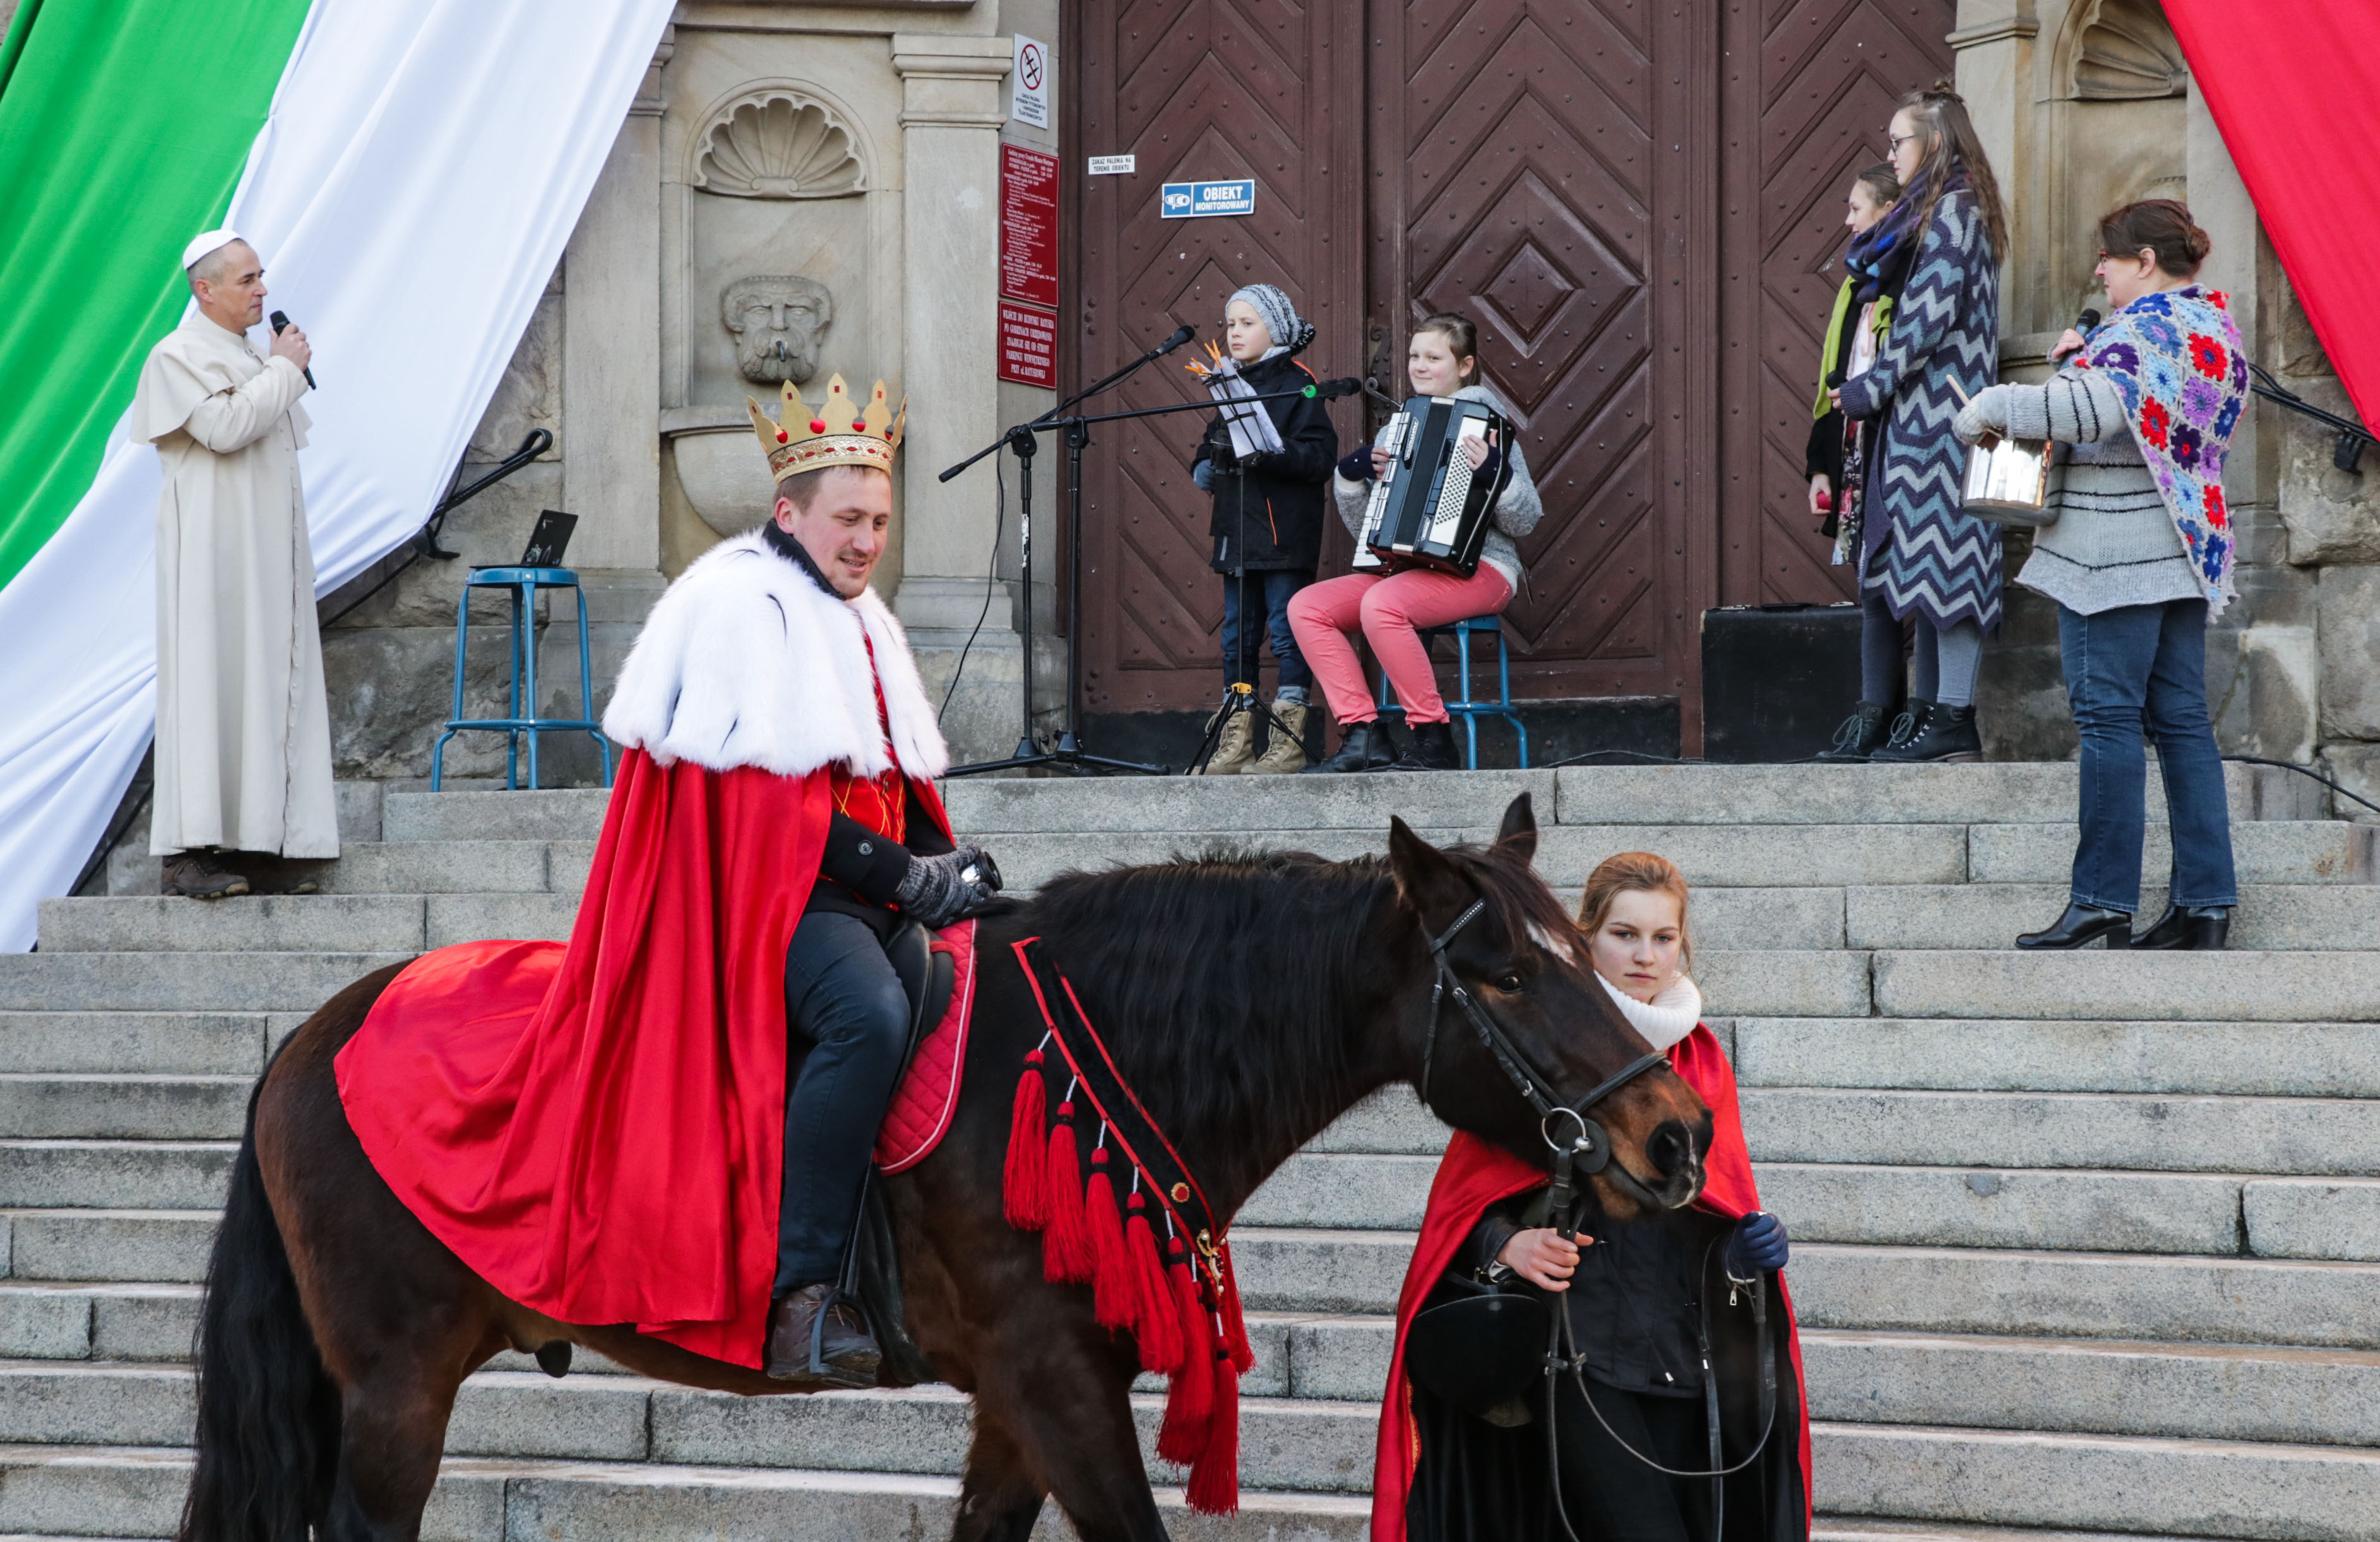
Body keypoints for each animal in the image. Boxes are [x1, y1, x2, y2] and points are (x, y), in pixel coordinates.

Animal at [181, 792, 1713, 1542]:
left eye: (1585, 951)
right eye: (1504, 973)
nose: (1674, 1135)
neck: (1090, 1048)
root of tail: (309, 1037)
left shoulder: (1024, 1397)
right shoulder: (1057, 1381)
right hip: (397, 1384)